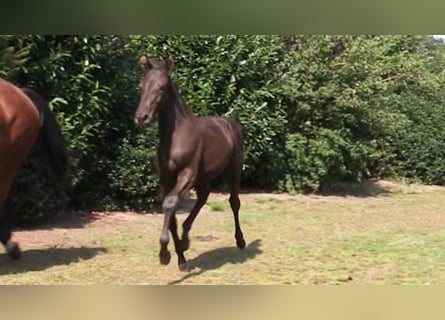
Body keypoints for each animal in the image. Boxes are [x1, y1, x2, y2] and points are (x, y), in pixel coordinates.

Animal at [135, 55, 246, 270]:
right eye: (141, 86)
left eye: (161, 87)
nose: (141, 118)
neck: (176, 137)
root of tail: (231, 122)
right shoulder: (166, 178)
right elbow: (171, 214)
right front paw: (180, 255)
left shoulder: (187, 173)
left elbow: (170, 203)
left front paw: (164, 254)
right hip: (203, 176)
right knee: (203, 197)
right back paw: (186, 239)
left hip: (233, 170)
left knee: (234, 202)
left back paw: (240, 241)